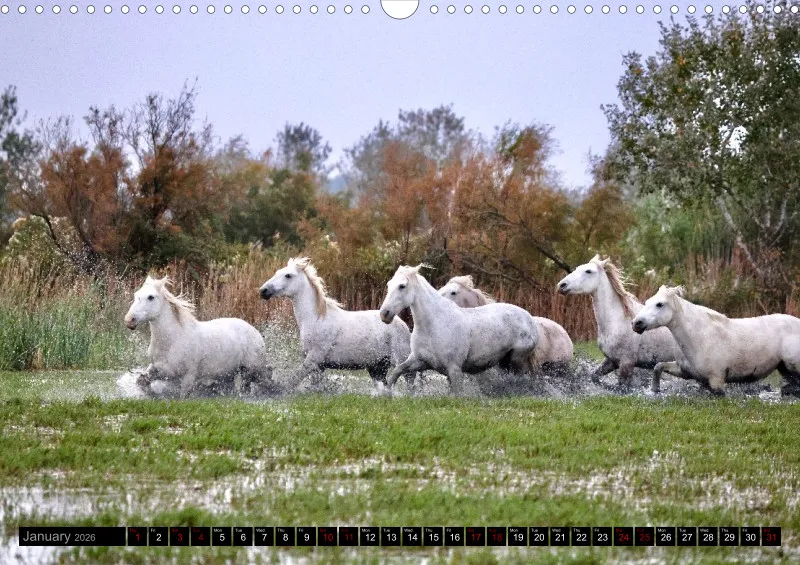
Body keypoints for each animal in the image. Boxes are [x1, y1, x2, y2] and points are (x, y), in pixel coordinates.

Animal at [124, 276, 273, 398]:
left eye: (151, 297)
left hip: (251, 370)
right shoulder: (158, 369)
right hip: (229, 374)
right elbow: (142, 381)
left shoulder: (188, 377)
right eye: (136, 295)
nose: (129, 320)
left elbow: (183, 395)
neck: (172, 341)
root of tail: (254, 331)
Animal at [258, 257, 417, 392]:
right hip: (377, 367)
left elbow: (294, 379)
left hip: (399, 361)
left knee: (411, 382)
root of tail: (403, 325)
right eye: (277, 272)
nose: (263, 291)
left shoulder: (314, 358)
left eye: (288, 275)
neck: (316, 319)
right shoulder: (318, 366)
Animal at [380, 265, 539, 394]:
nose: (384, 314)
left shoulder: (454, 369)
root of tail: (529, 319)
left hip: (516, 360)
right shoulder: (419, 361)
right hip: (505, 362)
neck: (434, 325)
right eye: (389, 284)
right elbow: (397, 371)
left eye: (402, 286)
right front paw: (387, 393)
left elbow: (456, 394)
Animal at [557, 255, 681, 388]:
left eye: (588, 271)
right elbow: (595, 377)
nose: (561, 285)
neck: (617, 321)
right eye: (577, 268)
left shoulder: (626, 364)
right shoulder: (612, 361)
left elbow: (622, 387)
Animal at [632, 285, 800, 395]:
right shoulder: (685, 371)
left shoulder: (717, 381)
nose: (636, 323)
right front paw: (654, 389)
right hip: (784, 368)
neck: (698, 337)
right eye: (647, 302)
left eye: (660, 304)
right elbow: (658, 367)